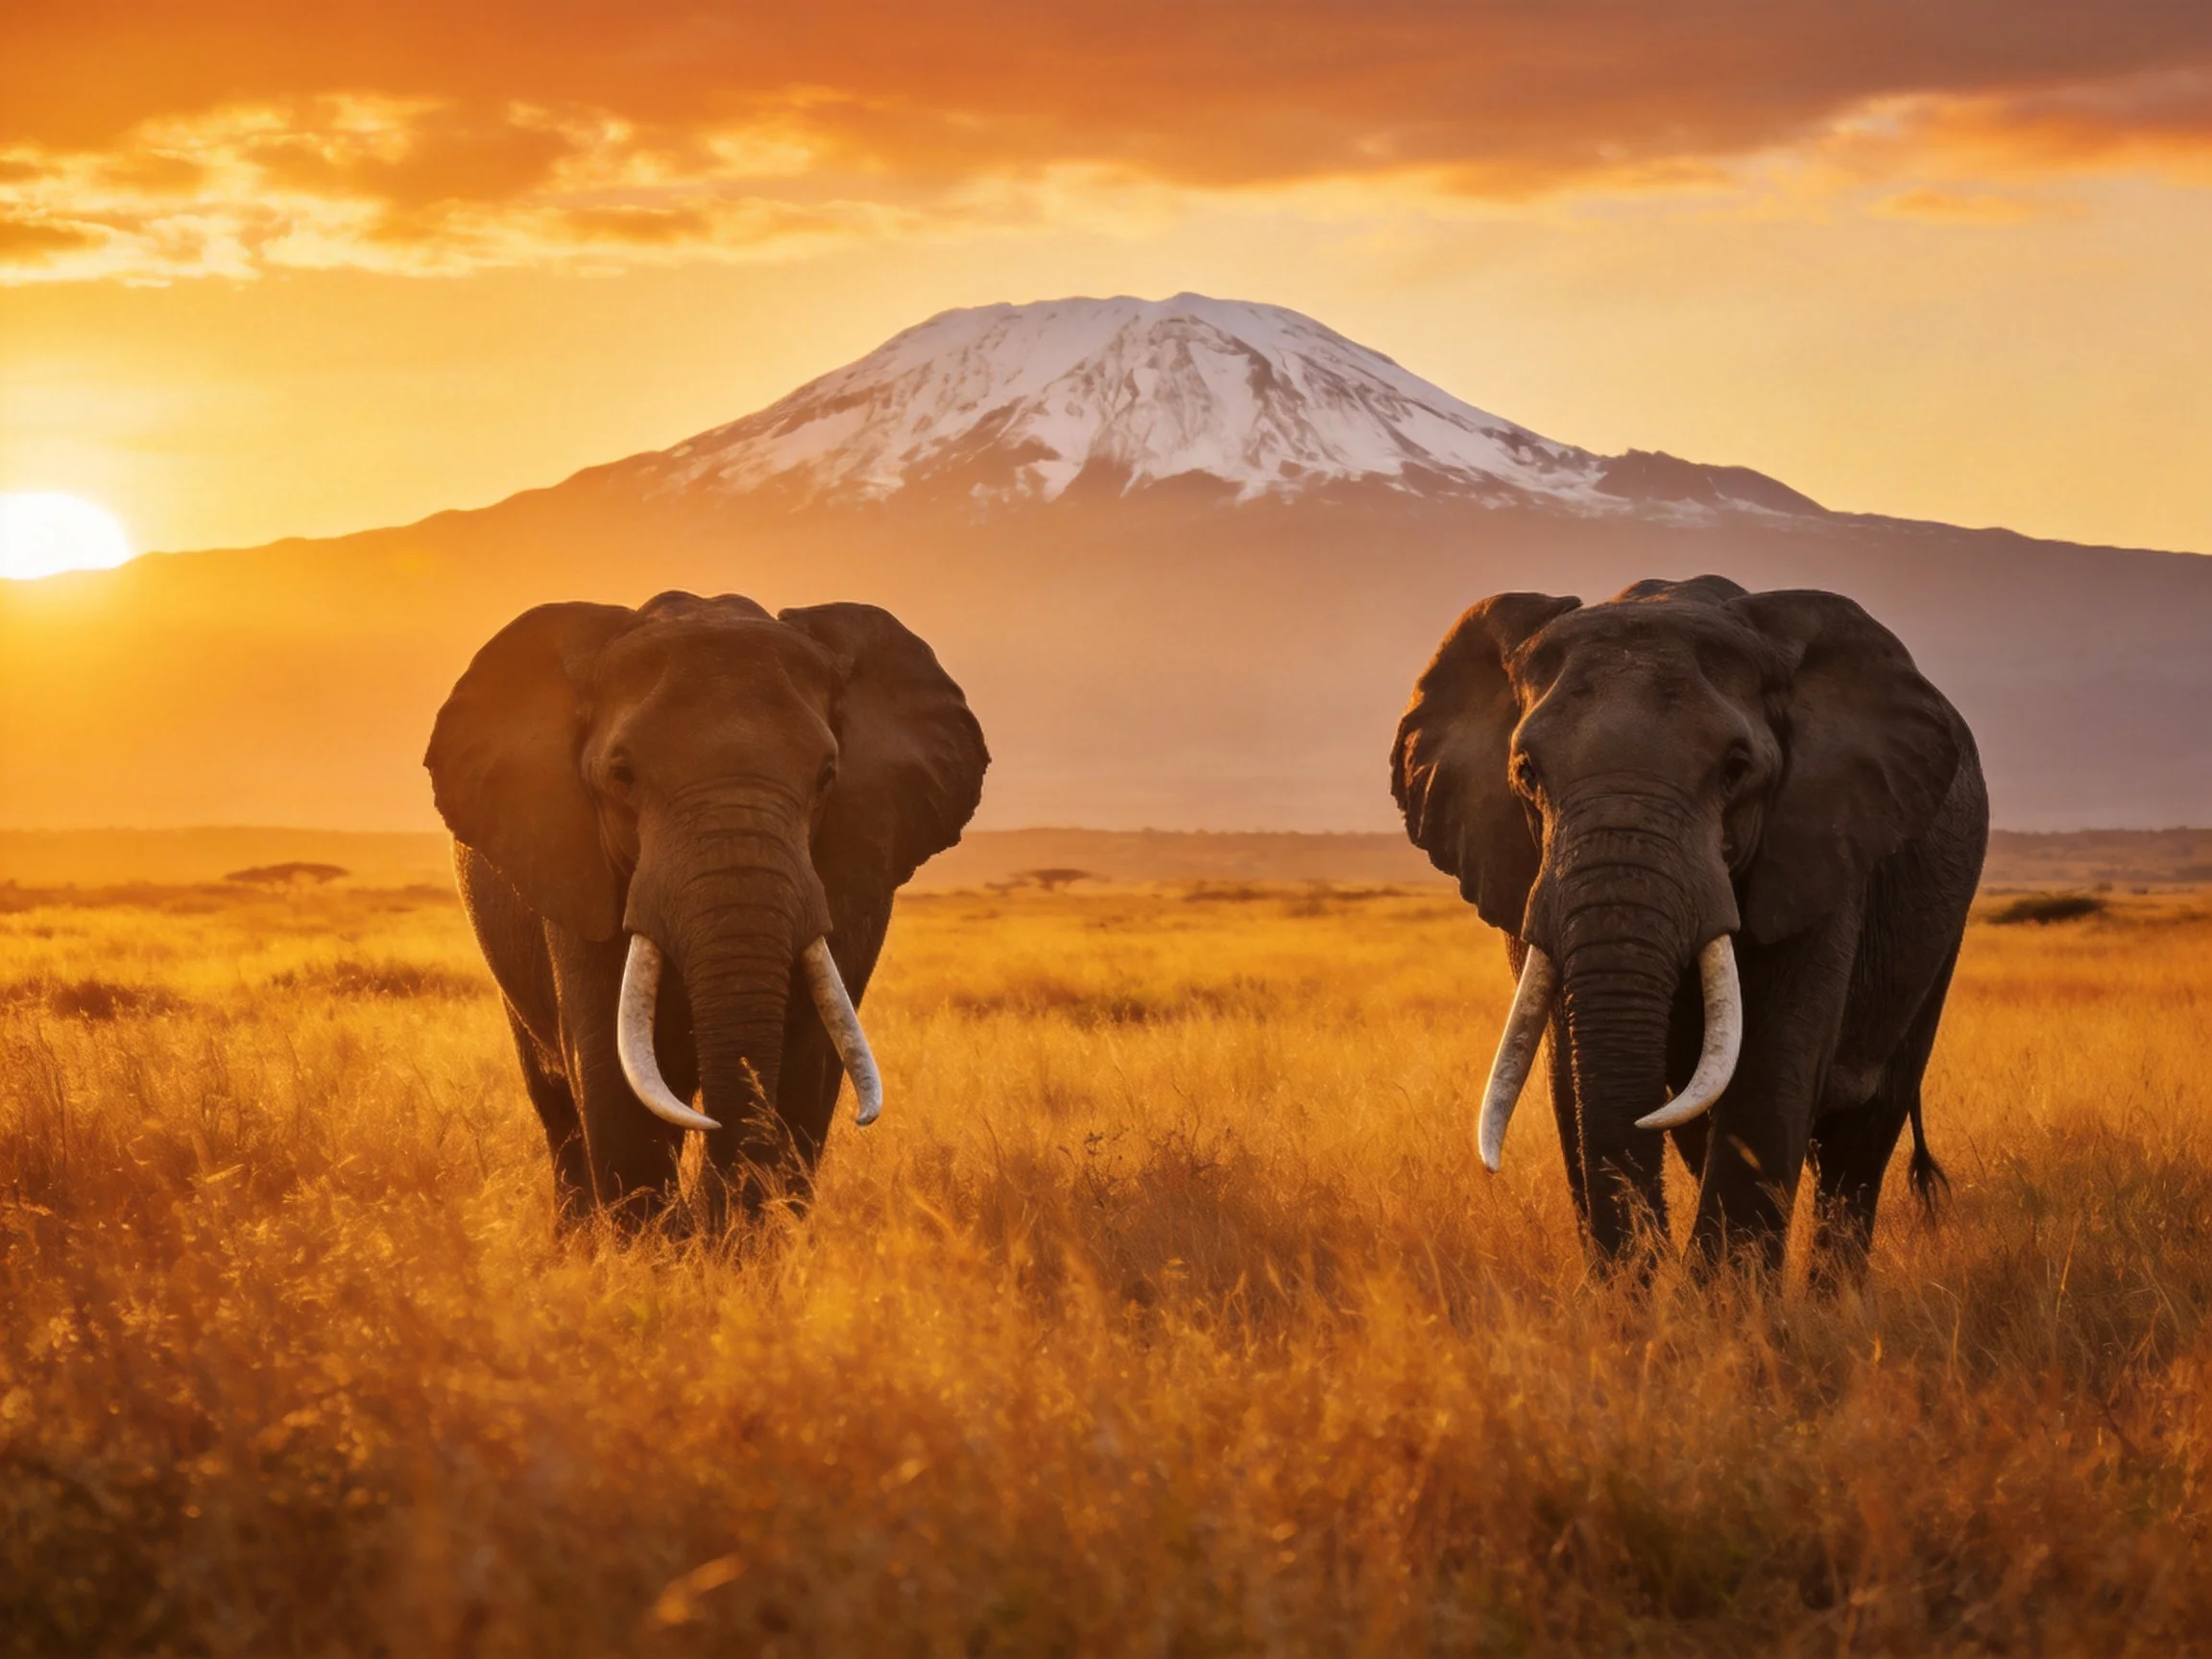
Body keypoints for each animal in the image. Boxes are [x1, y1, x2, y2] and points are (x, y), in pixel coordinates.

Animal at [1392, 576, 1987, 1275]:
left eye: (1735, 768)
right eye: (1526, 772)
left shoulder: (1821, 850)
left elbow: (1769, 1076)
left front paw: (1725, 1306)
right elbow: (1569, 1079)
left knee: (1862, 1139)